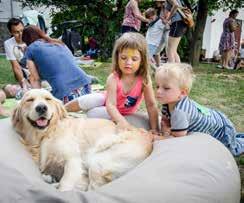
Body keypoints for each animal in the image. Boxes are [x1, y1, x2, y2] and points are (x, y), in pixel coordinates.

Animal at [12, 89, 152, 191]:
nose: (41, 108)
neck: (46, 134)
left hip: (98, 161)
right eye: (29, 100)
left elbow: (65, 185)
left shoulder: (73, 161)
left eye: (48, 99)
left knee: (92, 189)